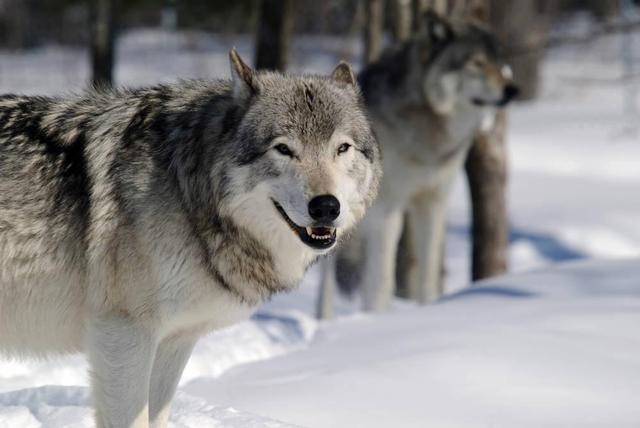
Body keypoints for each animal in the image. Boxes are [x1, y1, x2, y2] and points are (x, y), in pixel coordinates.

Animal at [0, 50, 380, 428]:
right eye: (283, 149)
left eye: (342, 148)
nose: (326, 207)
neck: (187, 191)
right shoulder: (123, 335)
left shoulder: (175, 340)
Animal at [322, 10, 516, 310]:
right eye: (476, 62)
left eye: (499, 62)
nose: (512, 89)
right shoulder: (388, 210)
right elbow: (381, 282)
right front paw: (377, 317)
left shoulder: (432, 202)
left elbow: (428, 273)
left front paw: (427, 310)